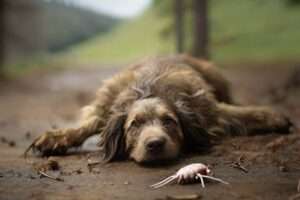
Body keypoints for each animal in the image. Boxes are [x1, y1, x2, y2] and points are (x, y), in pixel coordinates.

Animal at [27, 55, 292, 164]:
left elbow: (244, 113)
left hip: (215, 75)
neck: (148, 90)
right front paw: (57, 137)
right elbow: (89, 124)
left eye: (169, 121)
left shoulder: (208, 108)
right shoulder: (105, 106)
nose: (154, 144)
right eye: (134, 125)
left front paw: (275, 116)